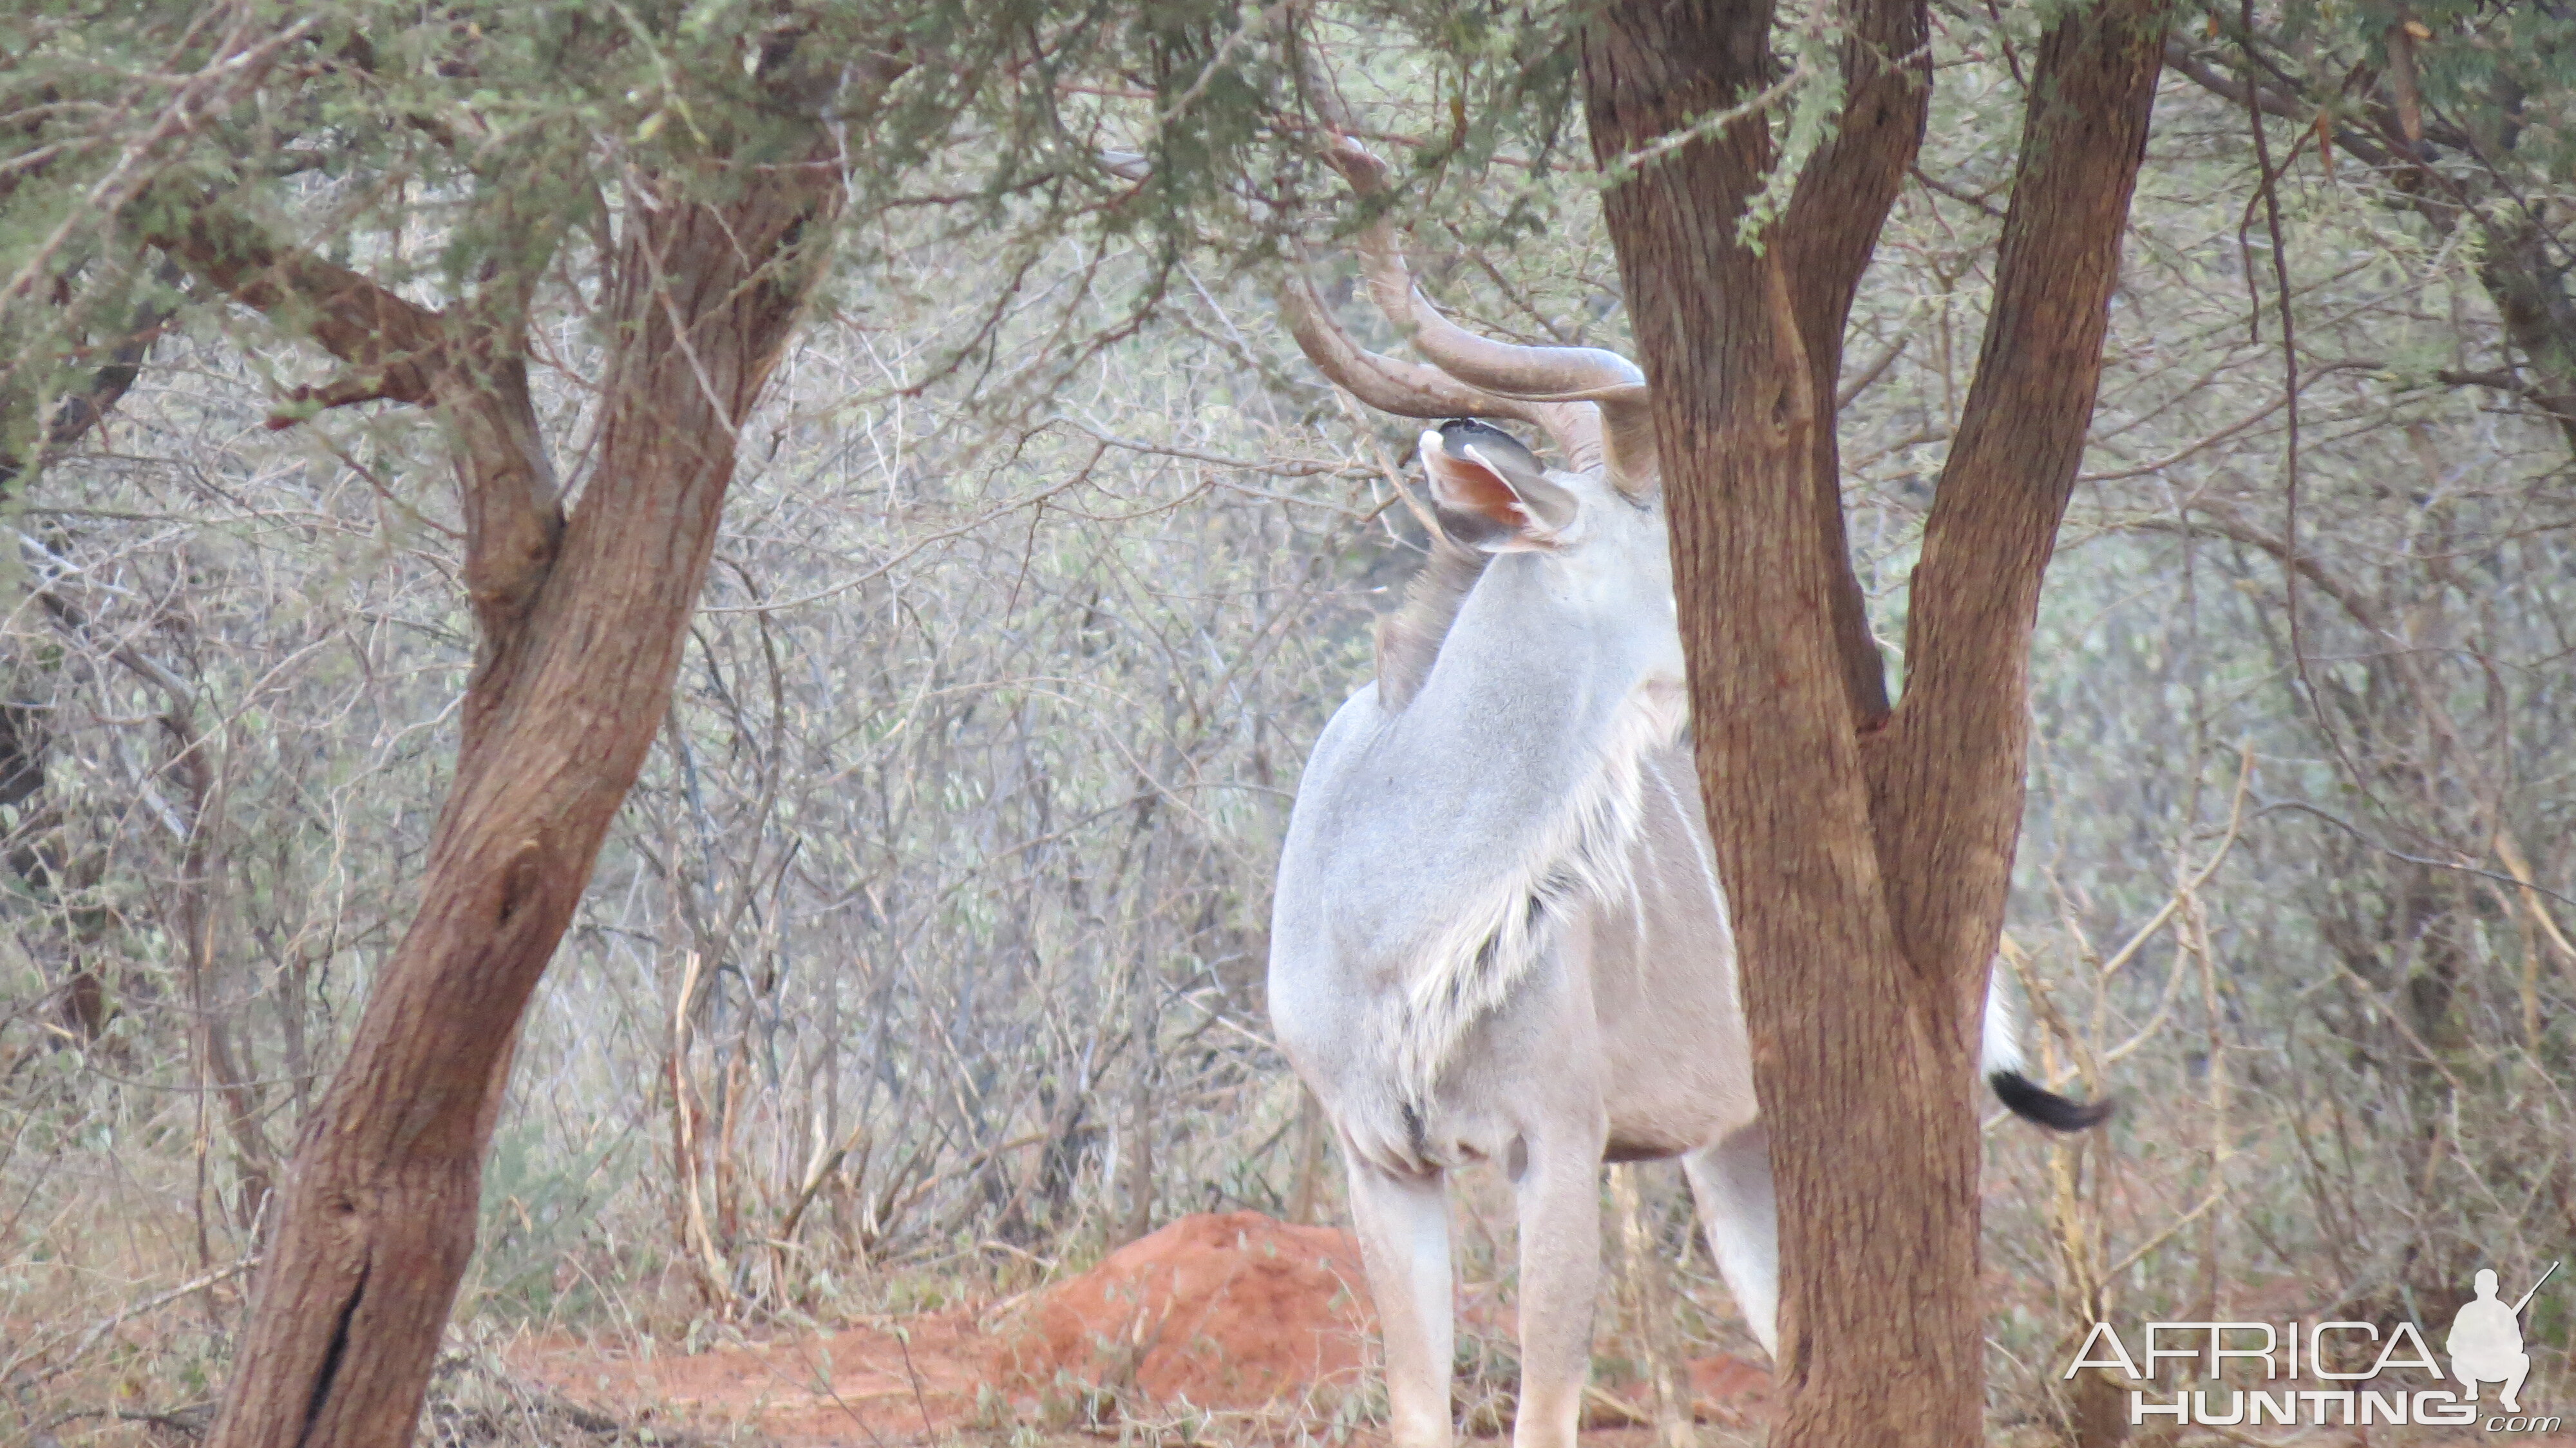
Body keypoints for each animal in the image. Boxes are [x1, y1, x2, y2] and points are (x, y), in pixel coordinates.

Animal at [1257, 144, 2102, 1443]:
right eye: (1680, 543)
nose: (1841, 636)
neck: (1393, 917)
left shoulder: (1556, 1145)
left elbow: (1545, 1407)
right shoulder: (1381, 1162)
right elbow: (1421, 1404)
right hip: (1734, 1156)